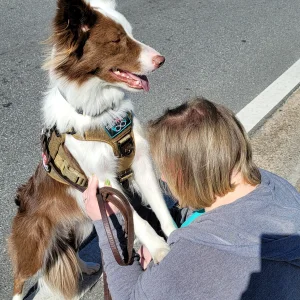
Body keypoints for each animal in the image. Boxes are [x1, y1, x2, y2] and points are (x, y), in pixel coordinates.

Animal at [8, 0, 176, 298]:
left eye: (130, 33)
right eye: (117, 40)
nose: (161, 59)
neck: (101, 112)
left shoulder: (140, 163)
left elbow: (160, 210)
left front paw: (177, 235)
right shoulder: (104, 181)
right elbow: (138, 218)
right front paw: (159, 250)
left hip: (83, 224)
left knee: (68, 251)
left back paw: (85, 267)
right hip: (35, 244)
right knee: (20, 278)